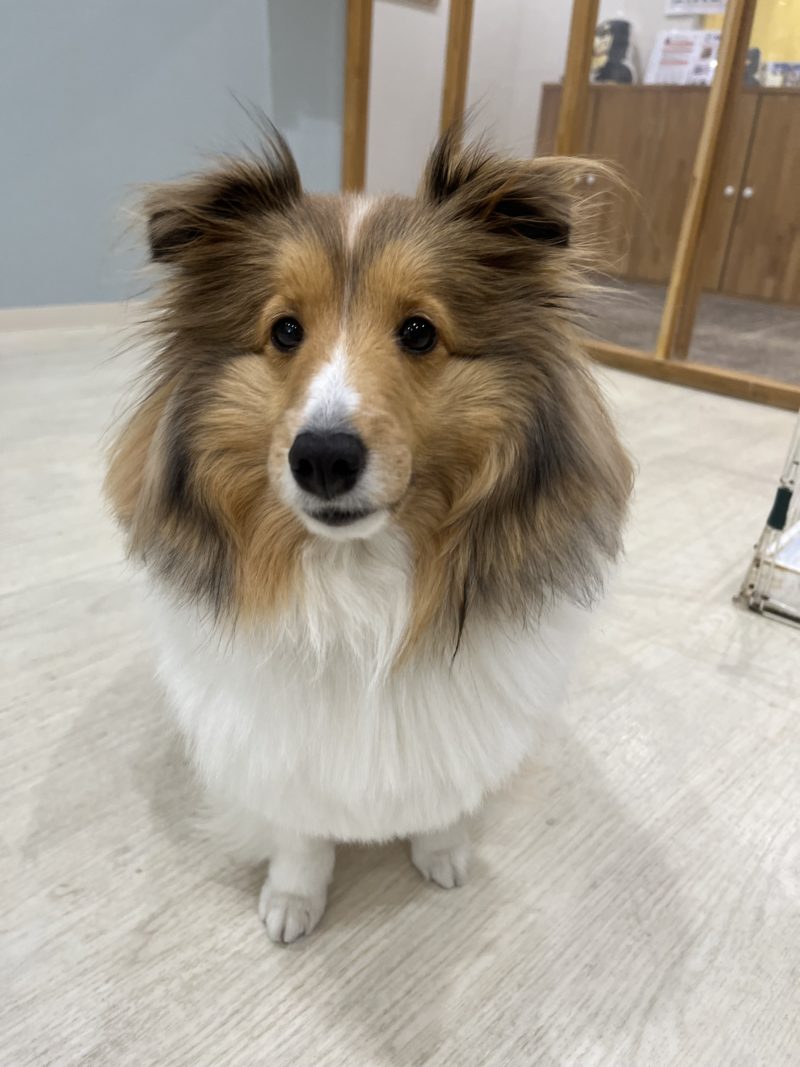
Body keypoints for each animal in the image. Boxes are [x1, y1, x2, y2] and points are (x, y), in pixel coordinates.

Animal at [106, 130, 632, 943]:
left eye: (418, 331)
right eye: (285, 330)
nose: (322, 457)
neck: (357, 578)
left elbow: (445, 803)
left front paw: (443, 854)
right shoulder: (280, 749)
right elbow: (301, 833)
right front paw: (293, 899)